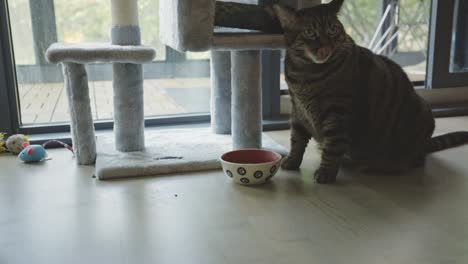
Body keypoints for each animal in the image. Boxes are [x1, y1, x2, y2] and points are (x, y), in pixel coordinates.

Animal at [272, 0, 468, 184]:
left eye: (333, 30)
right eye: (310, 32)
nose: (326, 47)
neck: (305, 74)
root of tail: (425, 143)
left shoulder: (338, 113)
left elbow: (333, 145)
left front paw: (326, 172)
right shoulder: (297, 109)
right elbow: (297, 139)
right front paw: (292, 160)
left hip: (422, 114)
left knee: (417, 159)